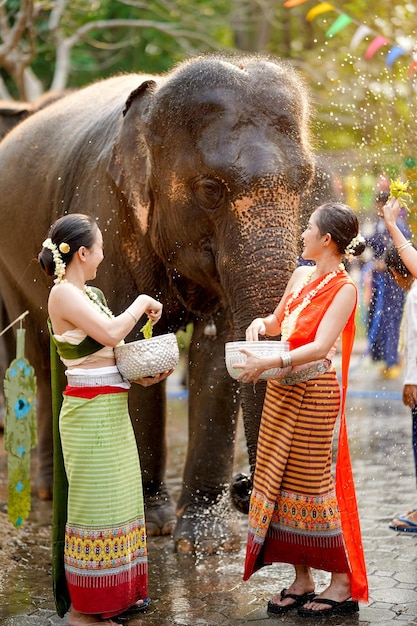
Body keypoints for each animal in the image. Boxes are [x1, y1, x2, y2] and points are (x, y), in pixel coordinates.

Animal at [0, 53, 314, 552]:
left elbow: (215, 357)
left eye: (305, 182)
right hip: (11, 264)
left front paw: (201, 541)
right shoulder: (107, 212)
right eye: (210, 188)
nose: (243, 487)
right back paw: (51, 491)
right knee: (38, 352)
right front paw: (153, 524)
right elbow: (124, 345)